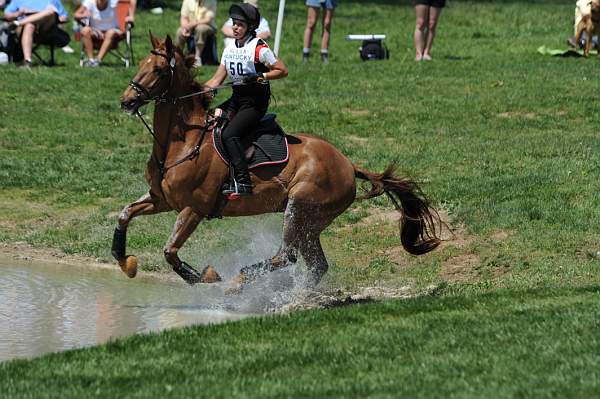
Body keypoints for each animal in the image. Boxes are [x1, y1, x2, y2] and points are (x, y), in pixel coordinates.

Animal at [113, 34, 440, 290]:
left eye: (157, 70)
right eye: (140, 64)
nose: (126, 100)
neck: (183, 143)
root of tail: (348, 165)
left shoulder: (194, 208)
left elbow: (169, 251)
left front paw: (207, 276)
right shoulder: (162, 200)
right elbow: (125, 215)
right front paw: (126, 262)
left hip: (300, 207)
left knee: (287, 255)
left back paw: (240, 282)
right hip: (312, 223)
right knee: (315, 264)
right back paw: (296, 300)